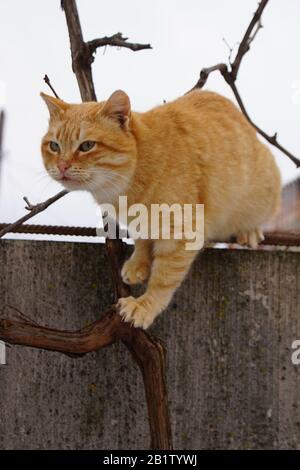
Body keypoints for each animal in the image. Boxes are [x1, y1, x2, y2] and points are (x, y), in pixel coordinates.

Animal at [40, 90, 282, 328]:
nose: (62, 166)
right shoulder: (141, 223)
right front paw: (138, 264)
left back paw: (249, 231)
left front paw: (144, 306)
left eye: (87, 146)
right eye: (54, 146)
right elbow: (142, 240)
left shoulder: (181, 233)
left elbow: (163, 279)